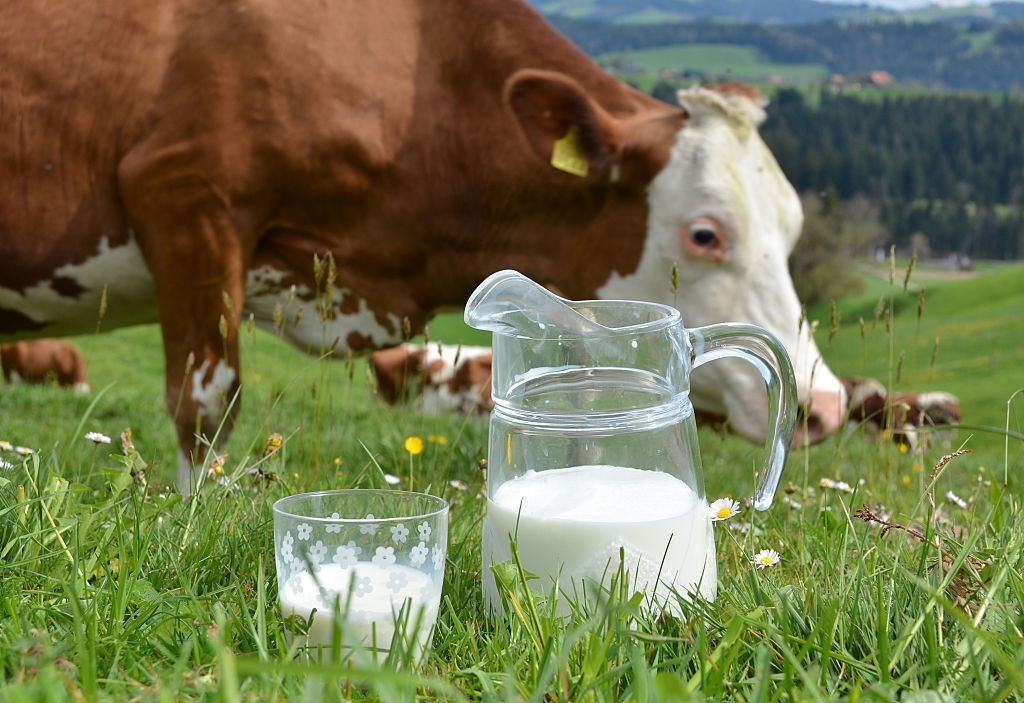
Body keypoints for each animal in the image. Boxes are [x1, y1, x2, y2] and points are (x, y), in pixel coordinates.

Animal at [2, 1, 847, 495]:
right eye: (706, 233)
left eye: (793, 229)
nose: (825, 403)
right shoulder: (185, 194)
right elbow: (206, 405)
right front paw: (191, 521)